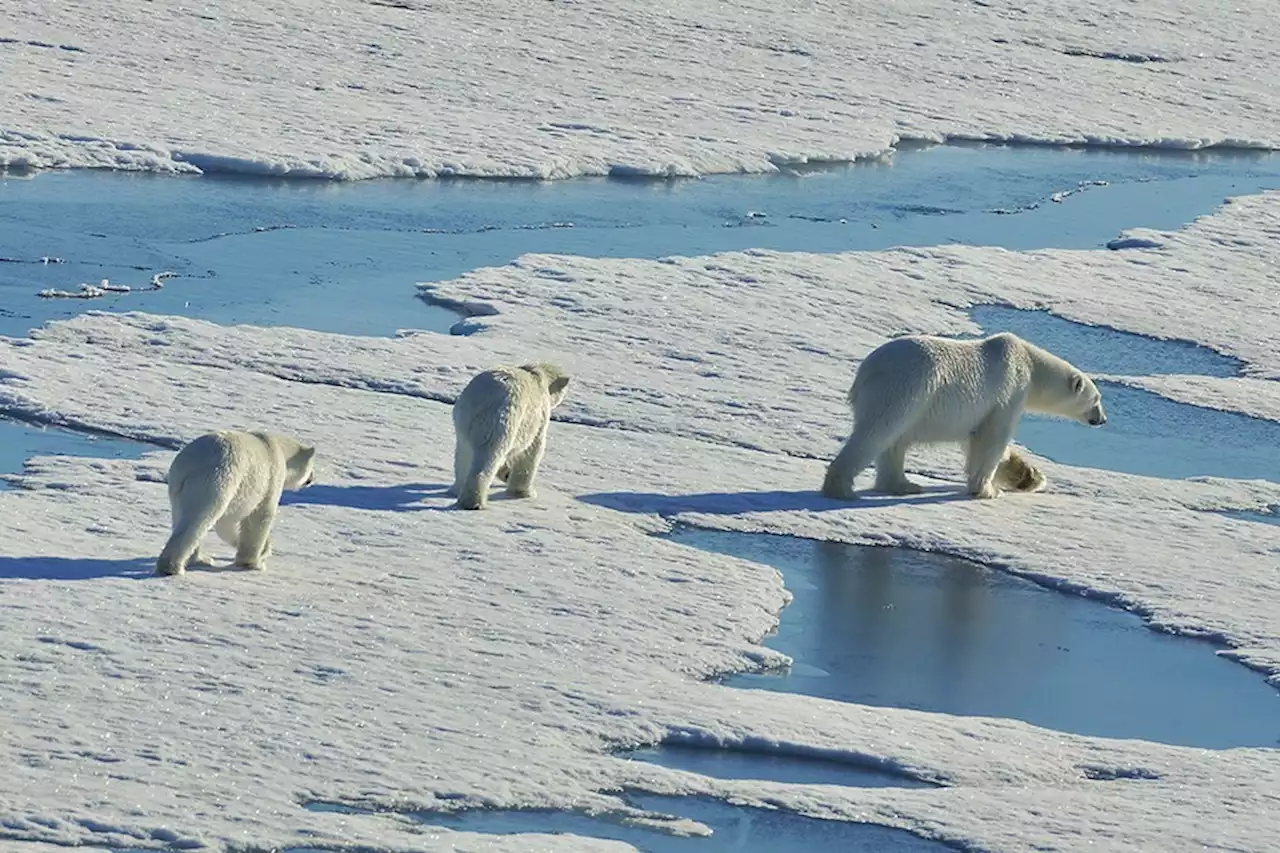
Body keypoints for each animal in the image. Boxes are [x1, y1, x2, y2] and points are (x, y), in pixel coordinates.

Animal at [156, 427, 316, 573]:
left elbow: (228, 523)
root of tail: (187, 465)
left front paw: (262, 548)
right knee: (197, 519)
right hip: (216, 479)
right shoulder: (271, 479)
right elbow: (261, 517)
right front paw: (253, 562)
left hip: (177, 491)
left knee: (181, 517)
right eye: (311, 467)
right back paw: (172, 567)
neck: (277, 449)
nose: (312, 478)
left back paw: (201, 559)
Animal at [450, 361, 570, 507]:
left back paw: (457, 490)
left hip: (464, 417)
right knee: (490, 457)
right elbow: (532, 452)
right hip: (505, 420)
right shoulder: (538, 418)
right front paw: (524, 493)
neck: (536, 375)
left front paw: (506, 474)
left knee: (463, 453)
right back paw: (474, 502)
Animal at [819, 330, 1111, 499]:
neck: (1029, 362)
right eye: (1096, 399)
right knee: (878, 432)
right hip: (907, 388)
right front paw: (988, 490)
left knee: (894, 442)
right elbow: (994, 439)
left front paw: (1029, 477)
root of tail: (865, 372)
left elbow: (977, 439)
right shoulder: (1009, 390)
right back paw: (841, 489)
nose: (1103, 420)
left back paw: (903, 485)